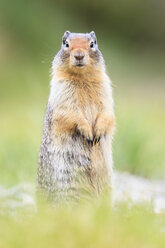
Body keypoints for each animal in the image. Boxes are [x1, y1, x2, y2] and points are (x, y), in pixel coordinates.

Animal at [37, 31, 114, 202]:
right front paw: (87, 132)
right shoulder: (62, 95)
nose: (79, 55)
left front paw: (98, 132)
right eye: (66, 43)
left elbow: (108, 114)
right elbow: (70, 114)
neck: (82, 78)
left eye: (92, 43)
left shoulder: (106, 92)